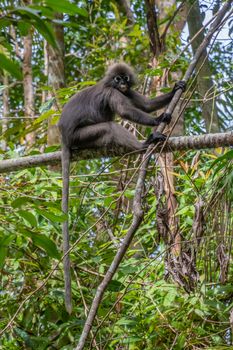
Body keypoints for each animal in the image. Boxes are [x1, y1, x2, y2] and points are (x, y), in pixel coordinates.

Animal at [57, 62, 186, 312]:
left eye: (125, 78)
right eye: (117, 79)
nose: (122, 83)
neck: (112, 86)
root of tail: (65, 138)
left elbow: (145, 104)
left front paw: (177, 87)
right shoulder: (112, 93)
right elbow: (128, 112)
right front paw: (158, 119)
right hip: (82, 136)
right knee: (109, 127)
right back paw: (144, 145)